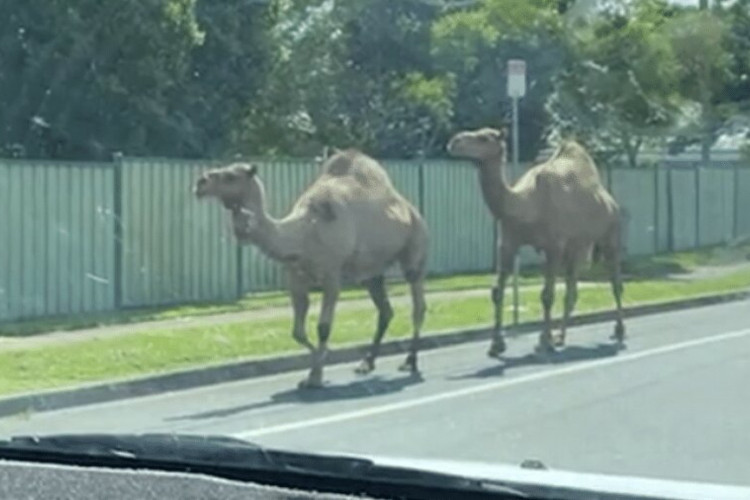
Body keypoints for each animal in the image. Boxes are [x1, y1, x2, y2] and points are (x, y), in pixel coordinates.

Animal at [194, 150, 428, 388]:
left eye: (231, 176)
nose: (200, 183)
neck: (304, 232)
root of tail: (411, 210)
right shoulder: (295, 277)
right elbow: (297, 332)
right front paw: (315, 368)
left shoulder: (332, 274)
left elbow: (323, 327)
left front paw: (317, 374)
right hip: (372, 273)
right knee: (385, 310)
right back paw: (366, 363)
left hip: (415, 248)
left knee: (418, 304)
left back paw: (410, 361)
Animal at [446, 127, 628, 358]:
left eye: (484, 138)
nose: (454, 141)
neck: (524, 204)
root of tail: (610, 201)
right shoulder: (507, 244)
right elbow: (497, 292)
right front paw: (496, 345)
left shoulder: (554, 246)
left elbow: (547, 295)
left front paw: (543, 342)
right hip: (577, 247)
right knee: (571, 289)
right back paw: (561, 337)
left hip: (610, 234)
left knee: (615, 283)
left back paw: (619, 331)